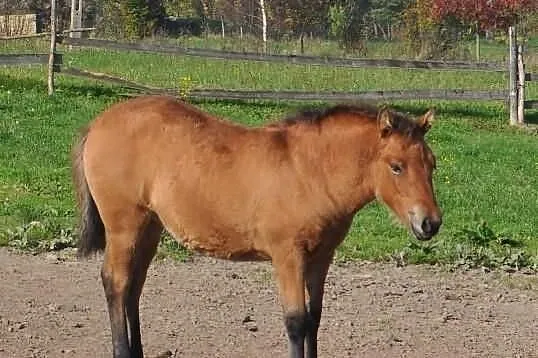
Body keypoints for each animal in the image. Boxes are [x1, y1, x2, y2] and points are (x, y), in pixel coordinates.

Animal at [71, 95, 440, 358]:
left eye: (432, 164)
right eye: (396, 166)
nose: (430, 223)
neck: (310, 171)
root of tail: (97, 123)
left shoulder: (321, 257)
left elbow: (314, 318)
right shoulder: (287, 255)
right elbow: (296, 321)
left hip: (149, 228)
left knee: (134, 287)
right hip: (124, 226)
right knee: (116, 283)